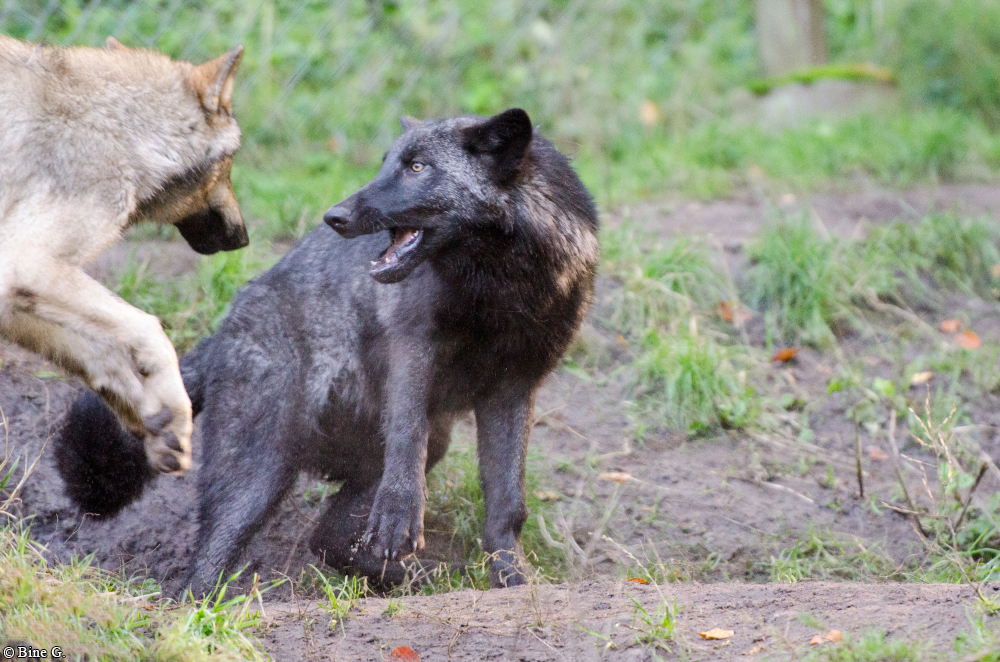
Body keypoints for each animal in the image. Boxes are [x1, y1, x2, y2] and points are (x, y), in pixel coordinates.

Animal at [0, 35, 248, 476]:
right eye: (229, 163)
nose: (243, 238)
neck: (123, 131)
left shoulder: (10, 290)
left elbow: (103, 353)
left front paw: (158, 421)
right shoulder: (26, 261)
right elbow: (152, 330)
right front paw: (174, 408)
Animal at [56, 108, 600, 591]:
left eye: (418, 167)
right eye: (385, 163)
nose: (335, 216)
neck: (498, 290)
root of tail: (223, 329)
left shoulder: (514, 386)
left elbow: (507, 503)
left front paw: (513, 582)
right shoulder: (413, 351)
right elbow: (406, 458)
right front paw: (408, 516)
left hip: (426, 439)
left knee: (326, 537)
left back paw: (408, 581)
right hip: (259, 472)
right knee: (201, 573)